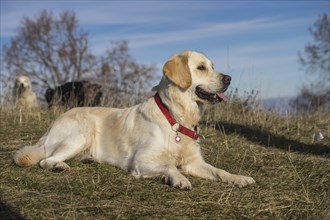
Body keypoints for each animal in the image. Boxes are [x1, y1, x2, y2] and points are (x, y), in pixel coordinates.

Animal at [13, 51, 255, 189]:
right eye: (201, 68)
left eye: (212, 66)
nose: (228, 78)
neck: (176, 117)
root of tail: (52, 125)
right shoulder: (141, 160)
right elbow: (169, 165)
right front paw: (179, 179)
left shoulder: (194, 161)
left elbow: (219, 171)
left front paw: (239, 178)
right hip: (81, 133)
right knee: (46, 160)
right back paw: (60, 166)